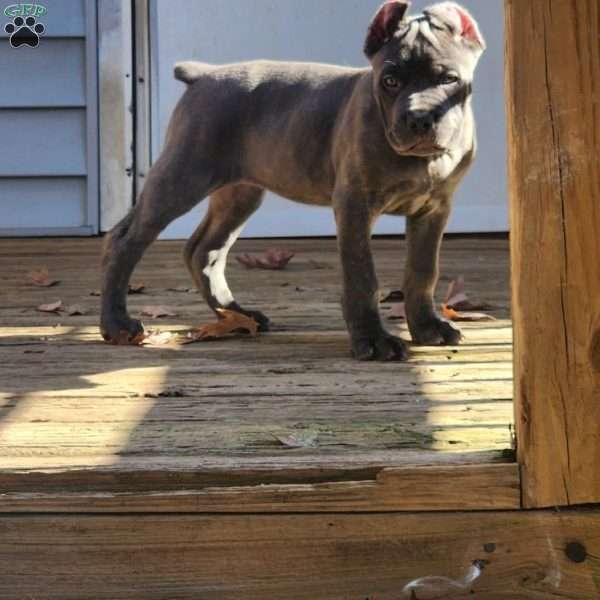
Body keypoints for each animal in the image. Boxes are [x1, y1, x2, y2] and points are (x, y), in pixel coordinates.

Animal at [101, 1, 486, 360]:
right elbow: (362, 275)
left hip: (239, 193)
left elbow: (422, 271)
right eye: (390, 81)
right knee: (125, 240)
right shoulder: (355, 204)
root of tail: (205, 75)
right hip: (183, 175)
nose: (420, 119)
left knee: (203, 251)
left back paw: (237, 316)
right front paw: (373, 340)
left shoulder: (434, 210)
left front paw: (427, 327)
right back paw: (117, 325)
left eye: (449, 79)